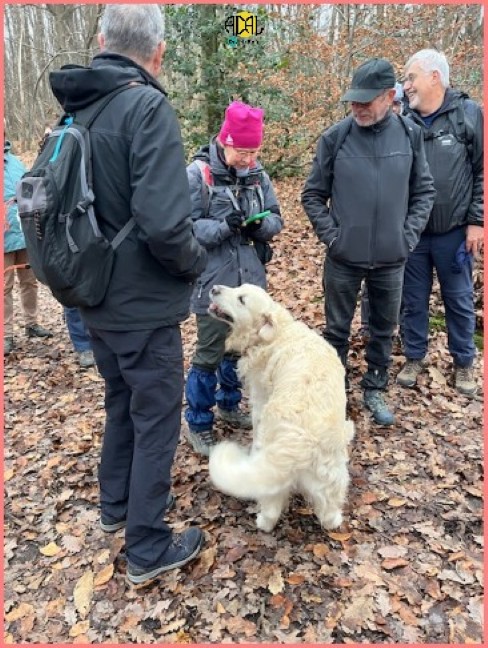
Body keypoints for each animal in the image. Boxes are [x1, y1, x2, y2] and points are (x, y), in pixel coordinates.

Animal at [207, 284, 354, 532]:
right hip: (331, 475)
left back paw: (262, 522)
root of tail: (301, 441)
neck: (276, 333)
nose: (214, 288)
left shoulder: (259, 397)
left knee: (271, 509)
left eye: (241, 299)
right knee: (329, 510)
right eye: (238, 287)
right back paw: (334, 520)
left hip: (274, 475)